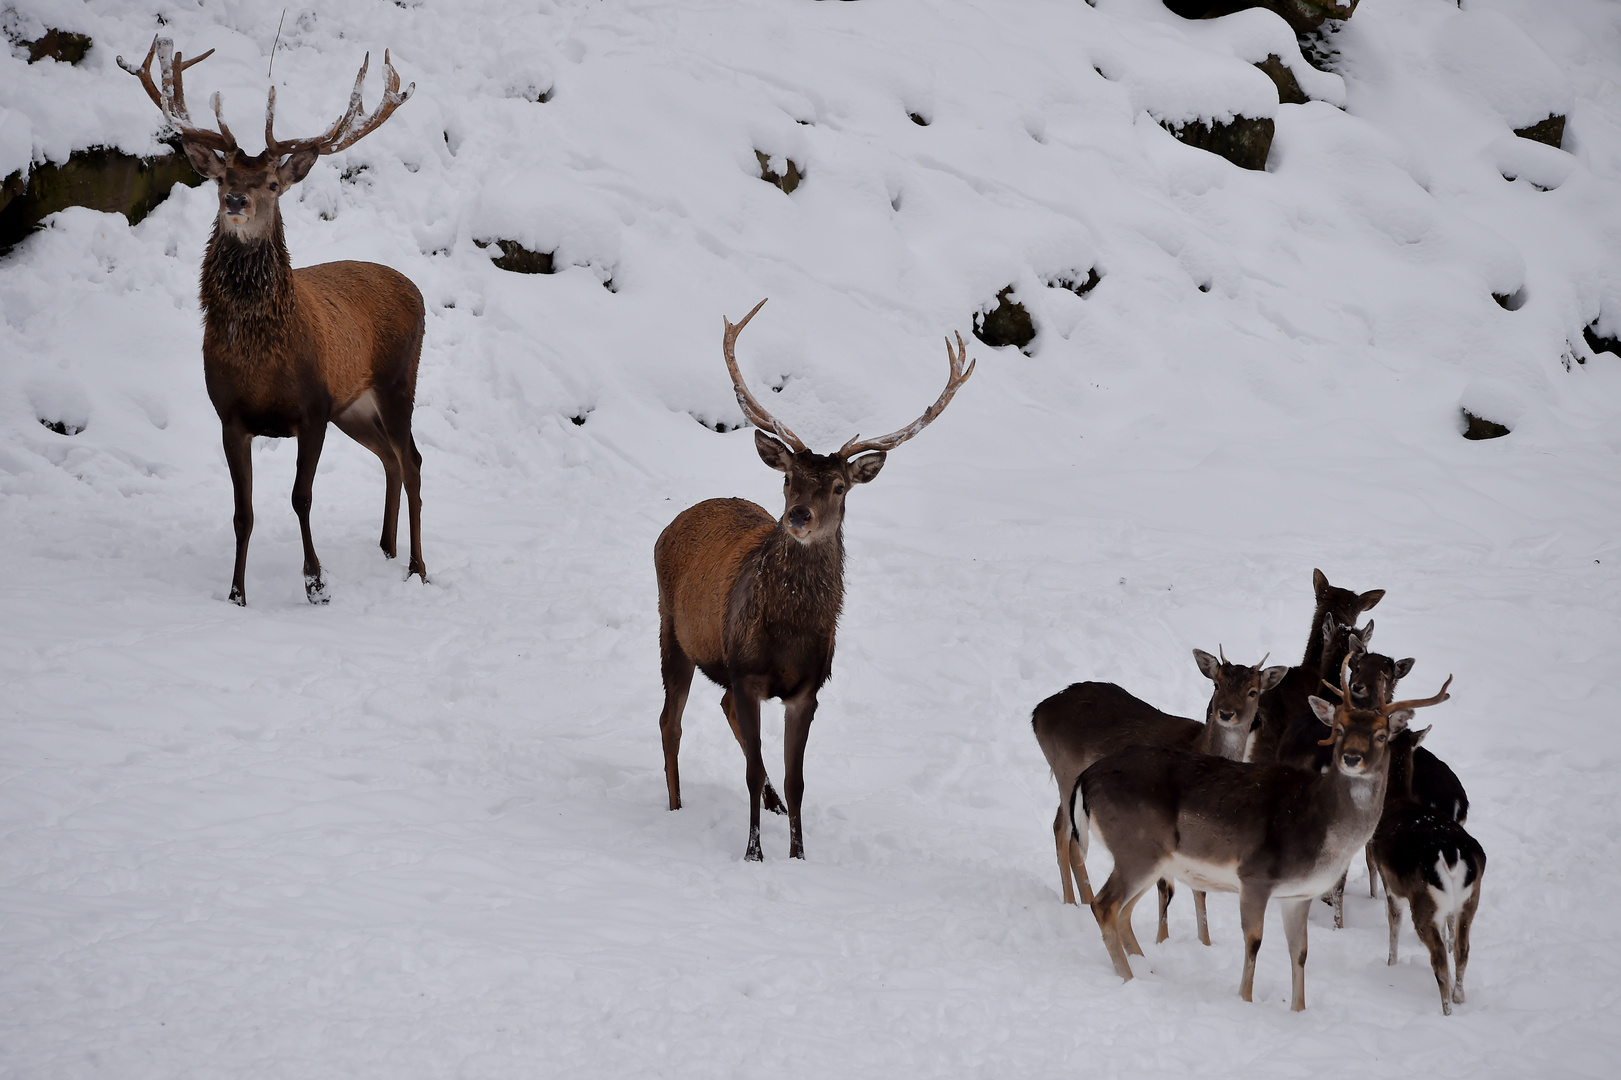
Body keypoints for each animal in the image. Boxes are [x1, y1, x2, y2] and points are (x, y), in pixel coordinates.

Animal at [119, 37, 424, 606]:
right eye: (221, 178)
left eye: (273, 183)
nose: (237, 200)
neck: (260, 361)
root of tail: (415, 288)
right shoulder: (231, 416)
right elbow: (243, 513)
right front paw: (236, 593)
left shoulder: (312, 408)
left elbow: (301, 498)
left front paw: (316, 583)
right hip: (353, 404)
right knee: (389, 458)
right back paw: (386, 548)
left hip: (397, 380)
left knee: (411, 459)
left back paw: (417, 566)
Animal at [658, 296, 972, 856]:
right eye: (788, 478)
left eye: (840, 487)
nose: (798, 516)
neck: (787, 634)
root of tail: (673, 523)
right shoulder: (745, 671)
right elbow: (753, 768)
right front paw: (753, 853)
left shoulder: (807, 689)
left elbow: (795, 778)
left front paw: (799, 852)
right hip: (671, 630)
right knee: (670, 722)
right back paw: (674, 807)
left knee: (722, 714)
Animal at [1030, 648, 1283, 940]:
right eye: (1217, 684)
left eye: (1253, 691)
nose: (1226, 713)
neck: (1200, 746)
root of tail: (1038, 713)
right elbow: (1167, 888)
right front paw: (1162, 940)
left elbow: (1199, 889)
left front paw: (1205, 942)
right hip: (1066, 772)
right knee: (1068, 835)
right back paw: (1076, 903)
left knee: (1059, 827)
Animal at [1076, 655, 1458, 1011]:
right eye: (1339, 727)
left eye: (1381, 735)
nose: (1351, 757)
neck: (1322, 830)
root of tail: (1087, 779)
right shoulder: (1255, 876)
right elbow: (1254, 941)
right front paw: (1245, 1000)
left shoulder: (1299, 894)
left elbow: (1300, 951)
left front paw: (1298, 1009)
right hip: (1138, 848)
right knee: (1104, 905)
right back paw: (1128, 978)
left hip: (1149, 859)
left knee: (1123, 911)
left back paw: (1145, 970)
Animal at [1368, 723, 1484, 1011]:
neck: (1395, 800)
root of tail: (1452, 854)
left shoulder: (1390, 880)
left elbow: (1394, 921)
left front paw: (1391, 963)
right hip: (1470, 898)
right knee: (1463, 950)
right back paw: (1459, 997)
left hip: (1423, 901)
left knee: (1439, 959)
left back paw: (1446, 1009)